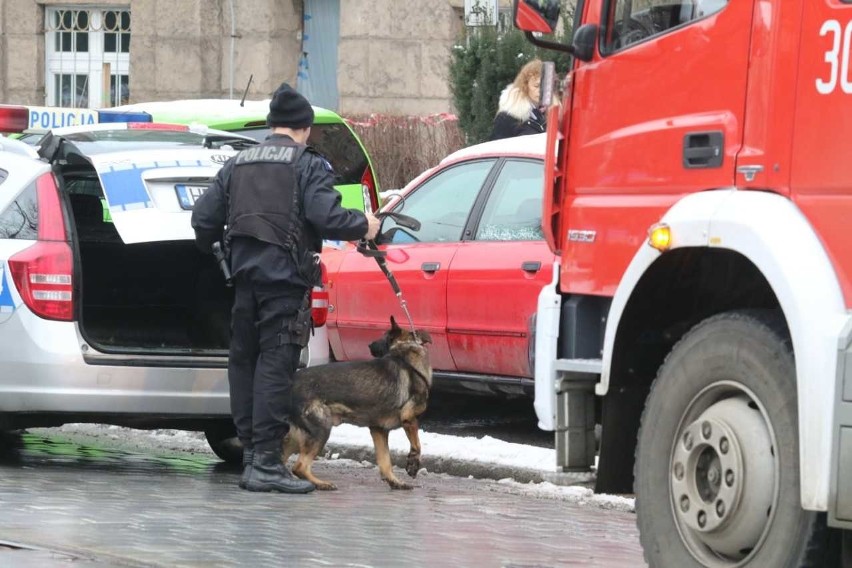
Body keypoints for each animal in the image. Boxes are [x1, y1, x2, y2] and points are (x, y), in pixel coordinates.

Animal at [282, 318, 432, 490]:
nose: (369, 345)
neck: (406, 349)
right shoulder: (409, 418)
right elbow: (417, 445)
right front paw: (413, 465)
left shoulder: (378, 430)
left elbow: (385, 461)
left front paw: (395, 482)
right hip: (321, 429)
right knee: (299, 467)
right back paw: (321, 484)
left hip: (297, 435)